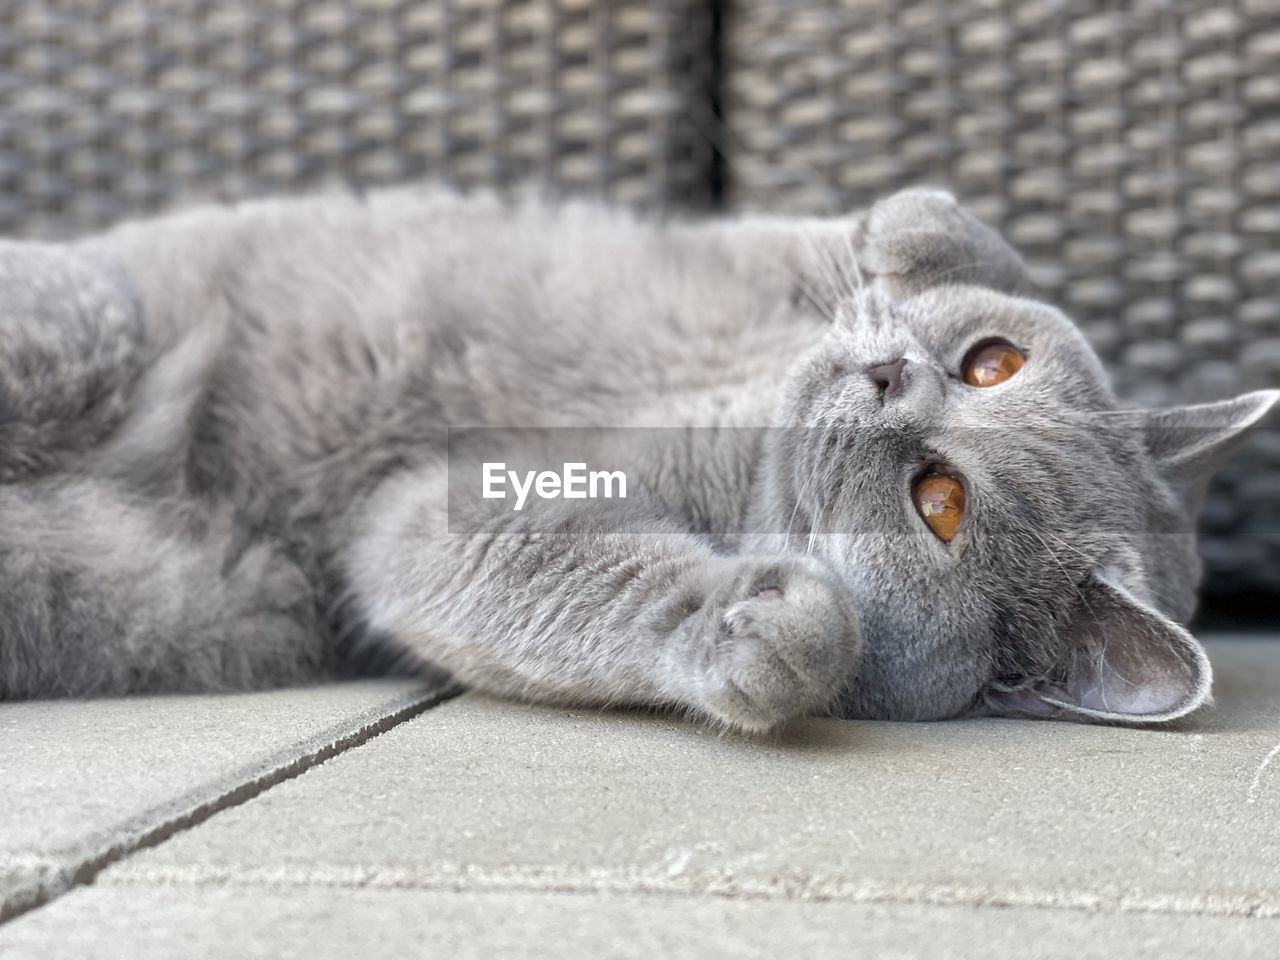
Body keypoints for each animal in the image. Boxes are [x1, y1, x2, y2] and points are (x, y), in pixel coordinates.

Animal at [0, 184, 1274, 732]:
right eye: (991, 363)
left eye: (940, 502)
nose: (884, 381)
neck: (744, 409)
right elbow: (945, 223)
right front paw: (905, 241)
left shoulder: (447, 514)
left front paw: (772, 631)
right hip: (76, 327)